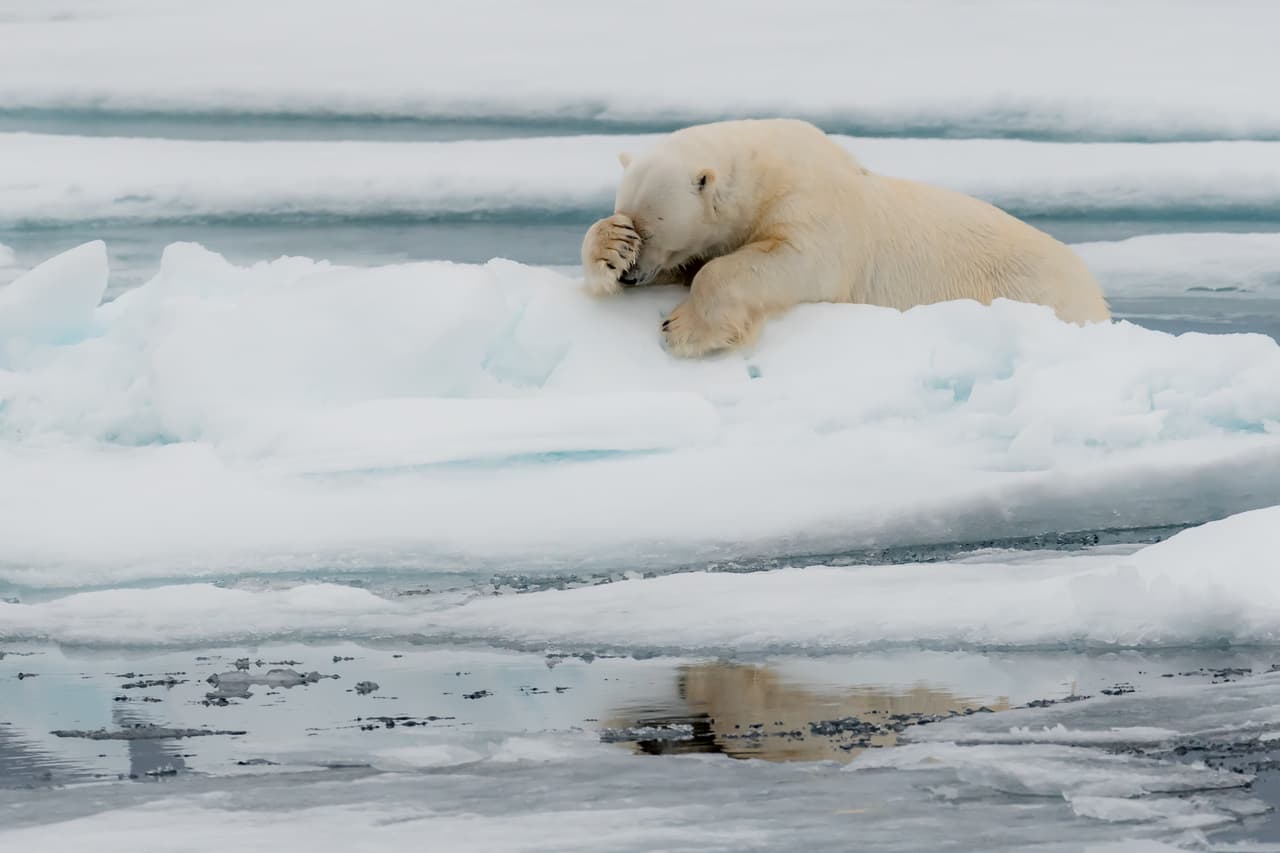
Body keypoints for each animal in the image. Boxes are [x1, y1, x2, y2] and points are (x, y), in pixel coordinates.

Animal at [581, 119, 1110, 358]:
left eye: (653, 229)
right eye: (630, 220)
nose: (630, 278)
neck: (769, 170)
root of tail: (1097, 298)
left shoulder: (815, 208)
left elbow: (788, 260)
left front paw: (684, 328)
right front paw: (609, 248)